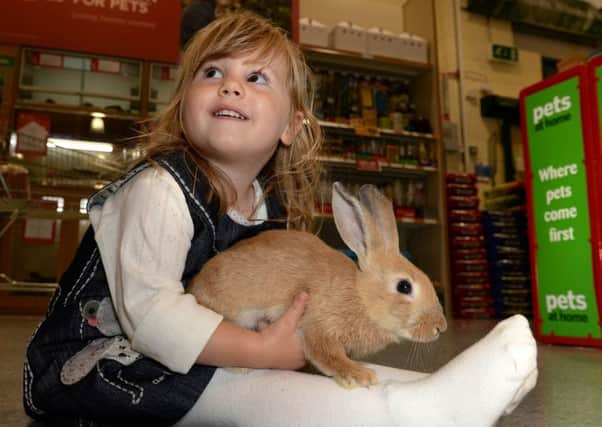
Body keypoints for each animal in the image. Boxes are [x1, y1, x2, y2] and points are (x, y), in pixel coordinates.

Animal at [188, 182, 446, 390]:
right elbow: (327, 355)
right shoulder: (319, 326)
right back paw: (240, 368)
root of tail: (195, 288)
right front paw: (359, 375)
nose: (440, 327)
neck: (361, 296)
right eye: (404, 287)